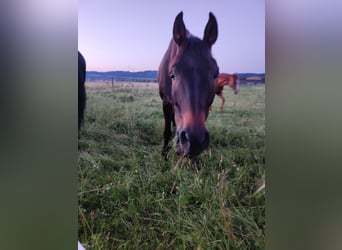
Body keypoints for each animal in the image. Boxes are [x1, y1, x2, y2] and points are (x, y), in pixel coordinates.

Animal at [158, 11, 219, 158]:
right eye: (172, 75)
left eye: (216, 74)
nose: (194, 140)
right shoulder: (165, 103)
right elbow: (167, 131)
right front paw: (164, 154)